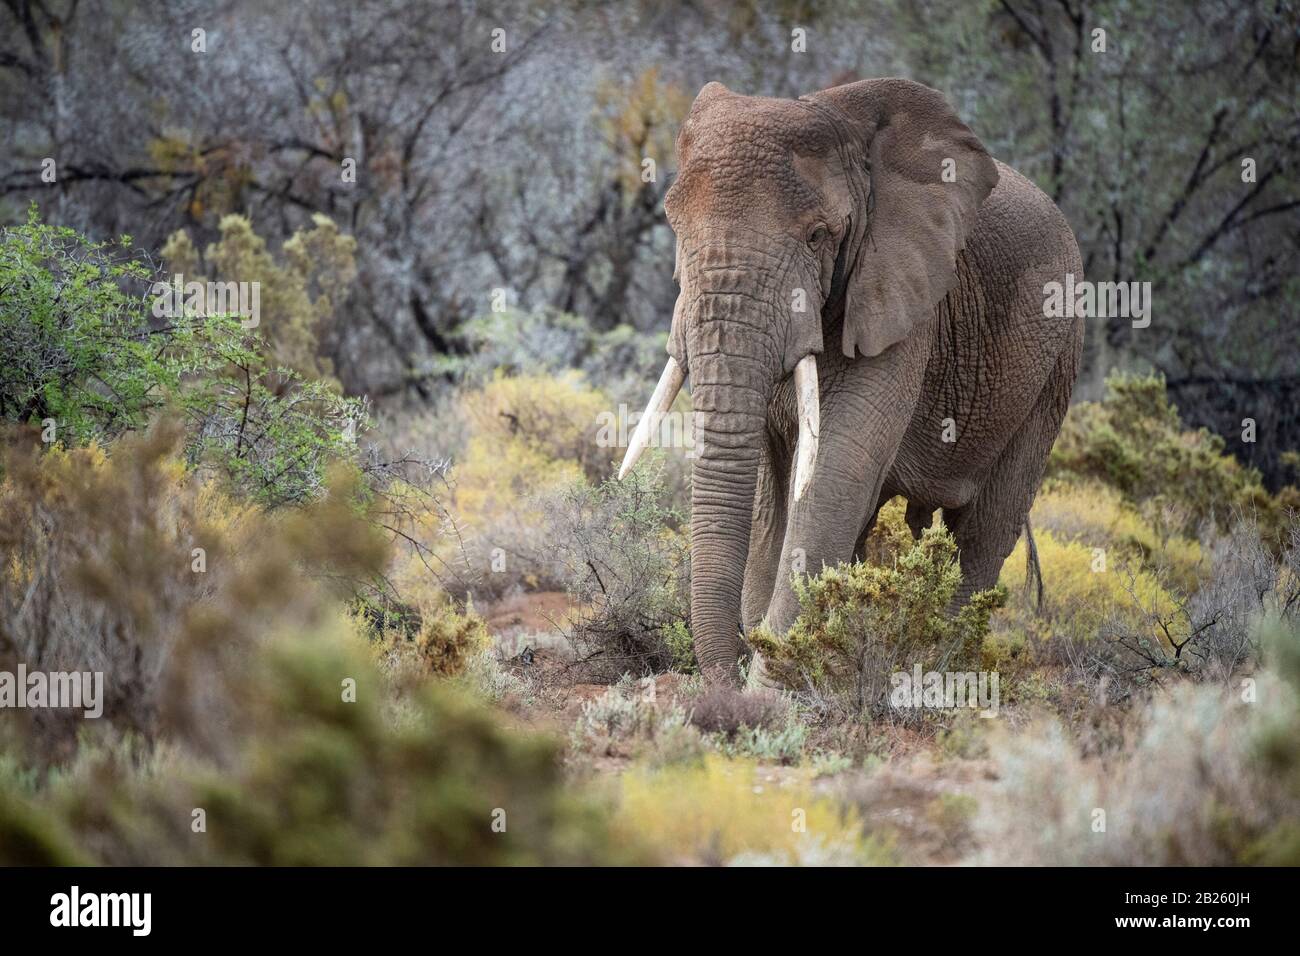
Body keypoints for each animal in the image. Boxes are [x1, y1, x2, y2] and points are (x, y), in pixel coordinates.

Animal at [619, 77, 1085, 685]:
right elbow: (775, 497)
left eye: (819, 235)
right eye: (674, 226)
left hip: (1057, 363)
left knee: (984, 530)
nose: (732, 670)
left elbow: (834, 472)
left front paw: (770, 684)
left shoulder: (903, 299)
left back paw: (939, 667)